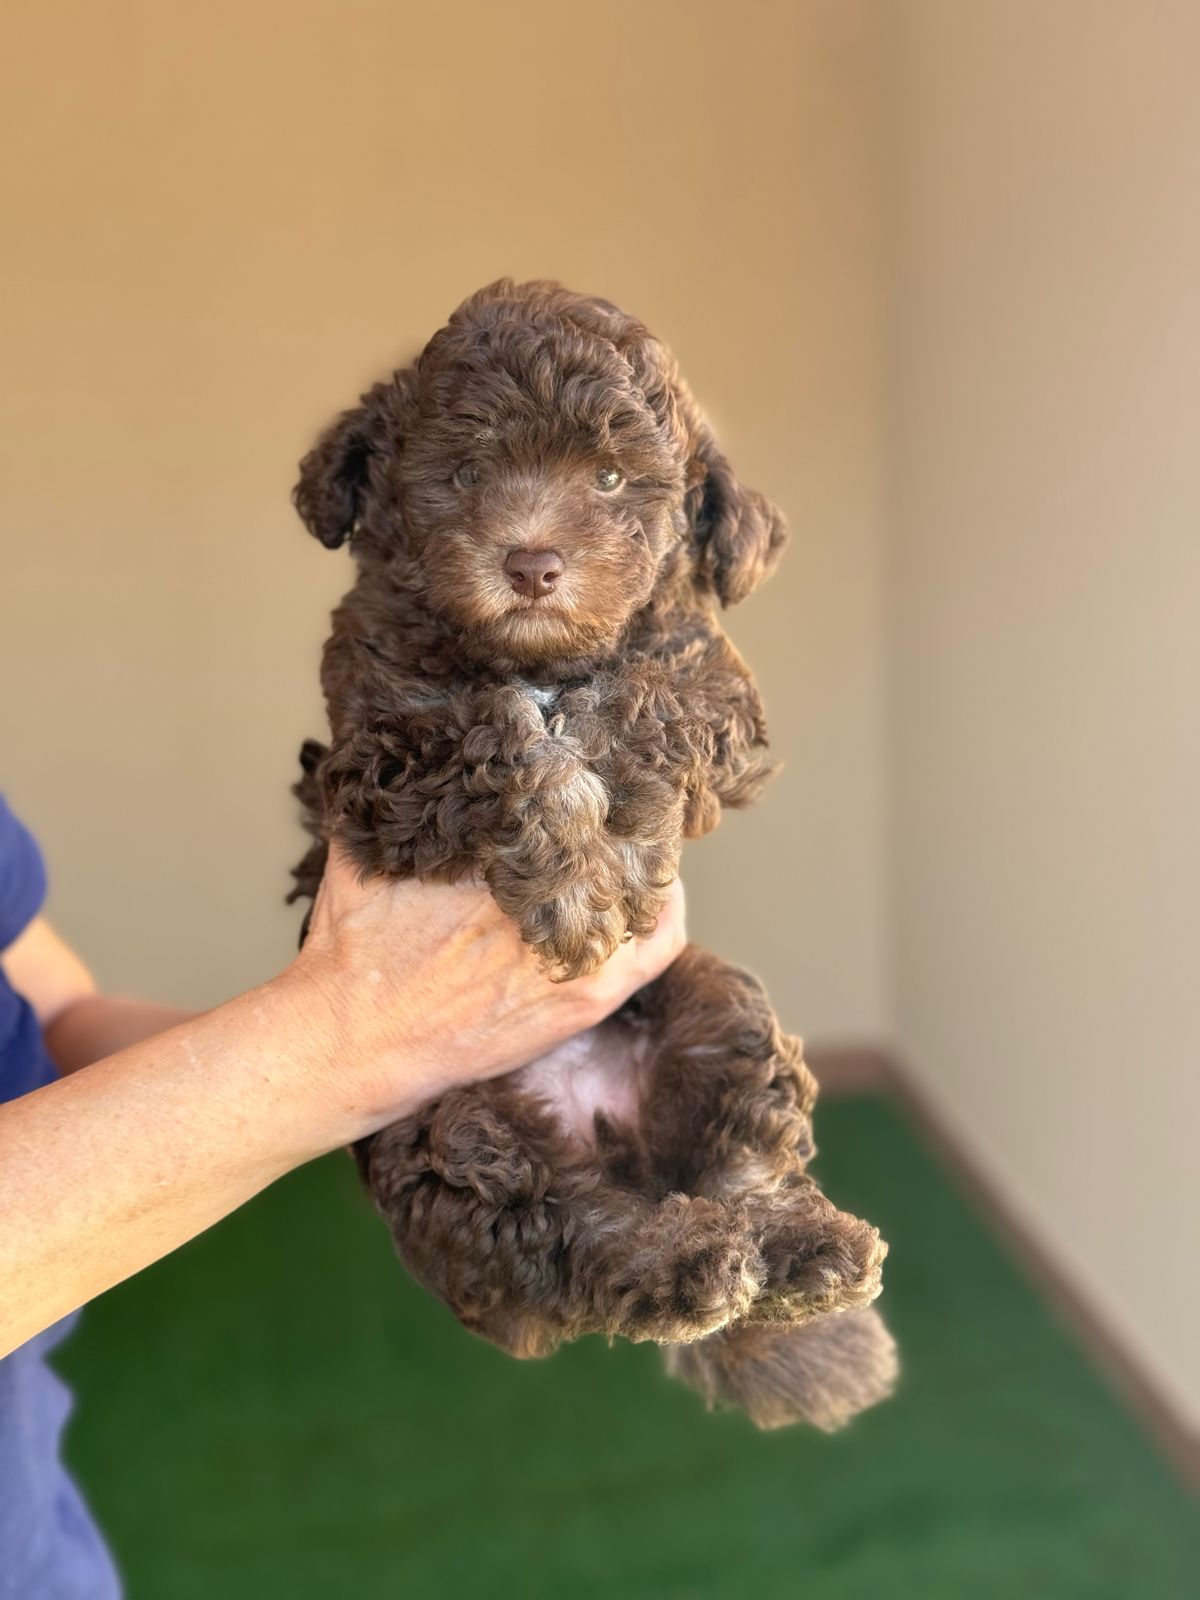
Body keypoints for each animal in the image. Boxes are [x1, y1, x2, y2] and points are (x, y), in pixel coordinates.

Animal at [289, 281, 896, 1433]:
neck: (537, 656)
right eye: (464, 475)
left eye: (611, 479)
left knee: (743, 1153)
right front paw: (575, 884)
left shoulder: (714, 687)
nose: (531, 564)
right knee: (568, 1241)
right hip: (446, 1128)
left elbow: (642, 699)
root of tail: (608, 1133)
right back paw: (690, 1266)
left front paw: (608, 846)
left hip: (710, 998)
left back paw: (800, 1249)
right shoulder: (376, 754)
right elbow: (495, 732)